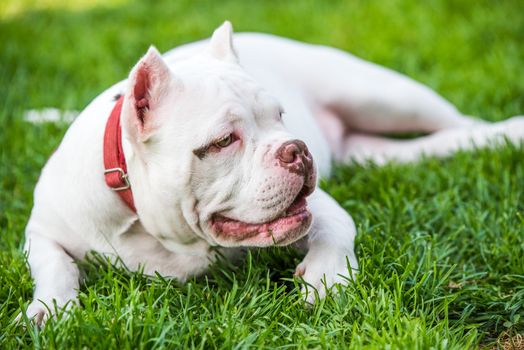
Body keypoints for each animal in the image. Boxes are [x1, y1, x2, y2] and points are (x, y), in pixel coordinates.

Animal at [22, 20, 524, 324]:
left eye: (280, 116)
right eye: (223, 141)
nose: (297, 149)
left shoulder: (319, 209)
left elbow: (337, 227)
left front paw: (326, 281)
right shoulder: (42, 228)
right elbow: (54, 263)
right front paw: (50, 310)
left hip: (383, 95)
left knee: (460, 123)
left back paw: (504, 132)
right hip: (375, 146)